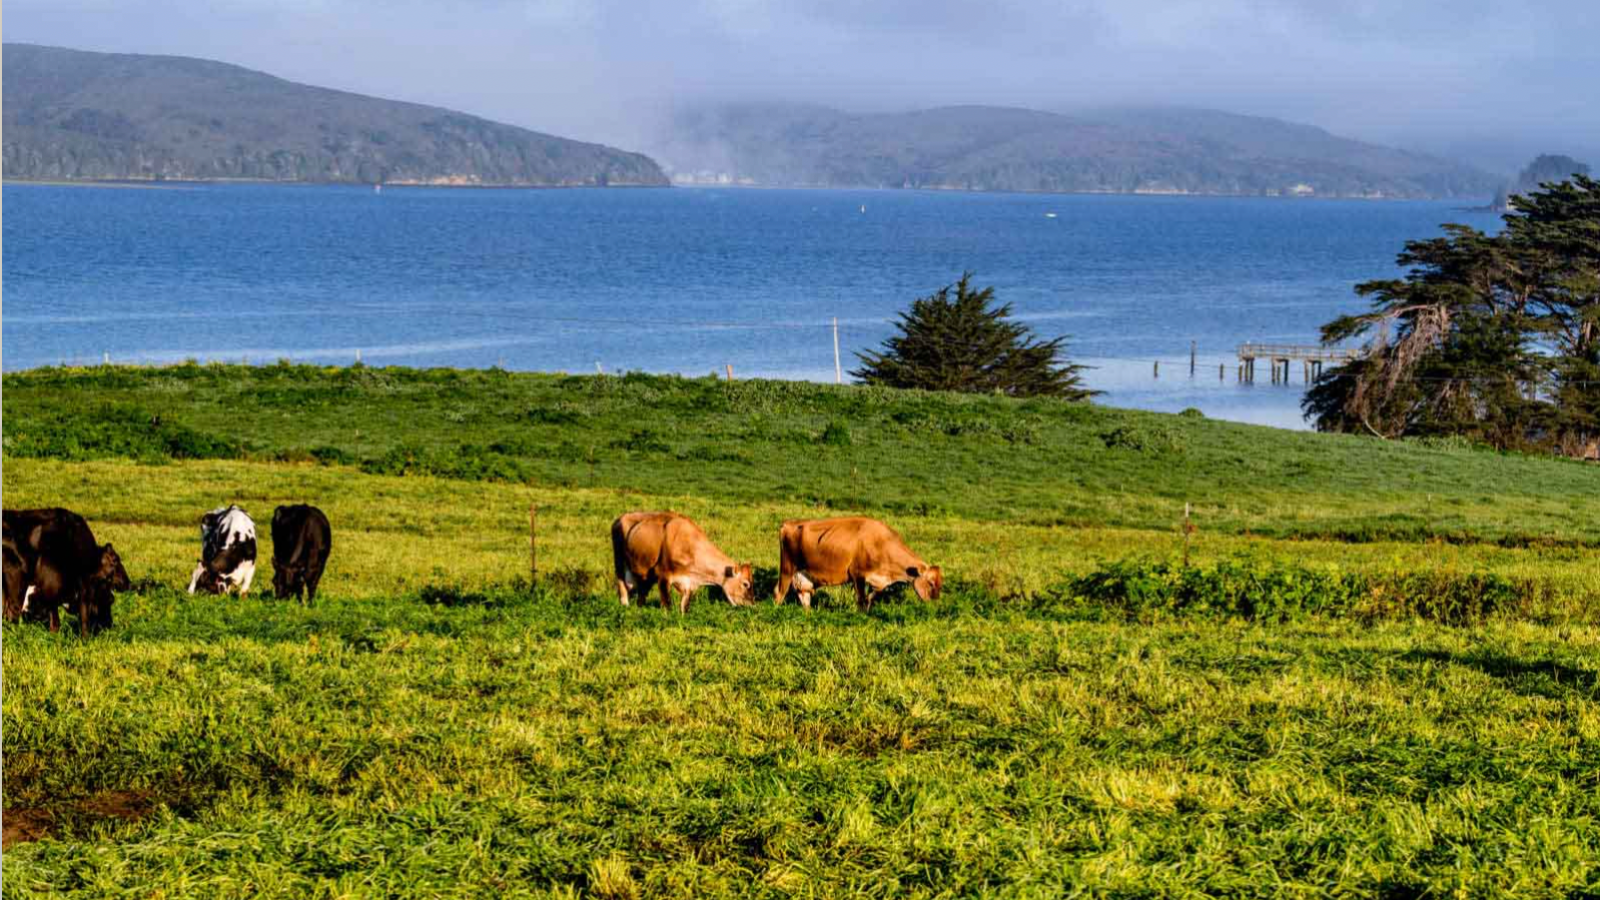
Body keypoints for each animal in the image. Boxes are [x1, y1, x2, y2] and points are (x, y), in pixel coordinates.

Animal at [0, 509, 129, 634]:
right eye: (115, 560)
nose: (128, 583)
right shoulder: (54, 587)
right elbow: (68, 619)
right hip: (16, 582)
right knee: (12, 612)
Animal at [614, 509, 758, 611]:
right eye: (745, 584)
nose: (751, 604)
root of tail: (620, 517)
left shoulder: (689, 584)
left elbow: (685, 607)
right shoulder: (663, 576)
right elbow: (667, 605)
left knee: (642, 592)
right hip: (619, 562)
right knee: (622, 586)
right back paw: (625, 605)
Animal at [771, 518, 934, 608]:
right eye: (931, 583)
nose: (935, 602)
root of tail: (787, 524)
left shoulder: (876, 581)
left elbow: (869, 599)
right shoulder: (858, 575)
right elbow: (861, 601)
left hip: (803, 575)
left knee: (804, 596)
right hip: (787, 569)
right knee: (779, 592)